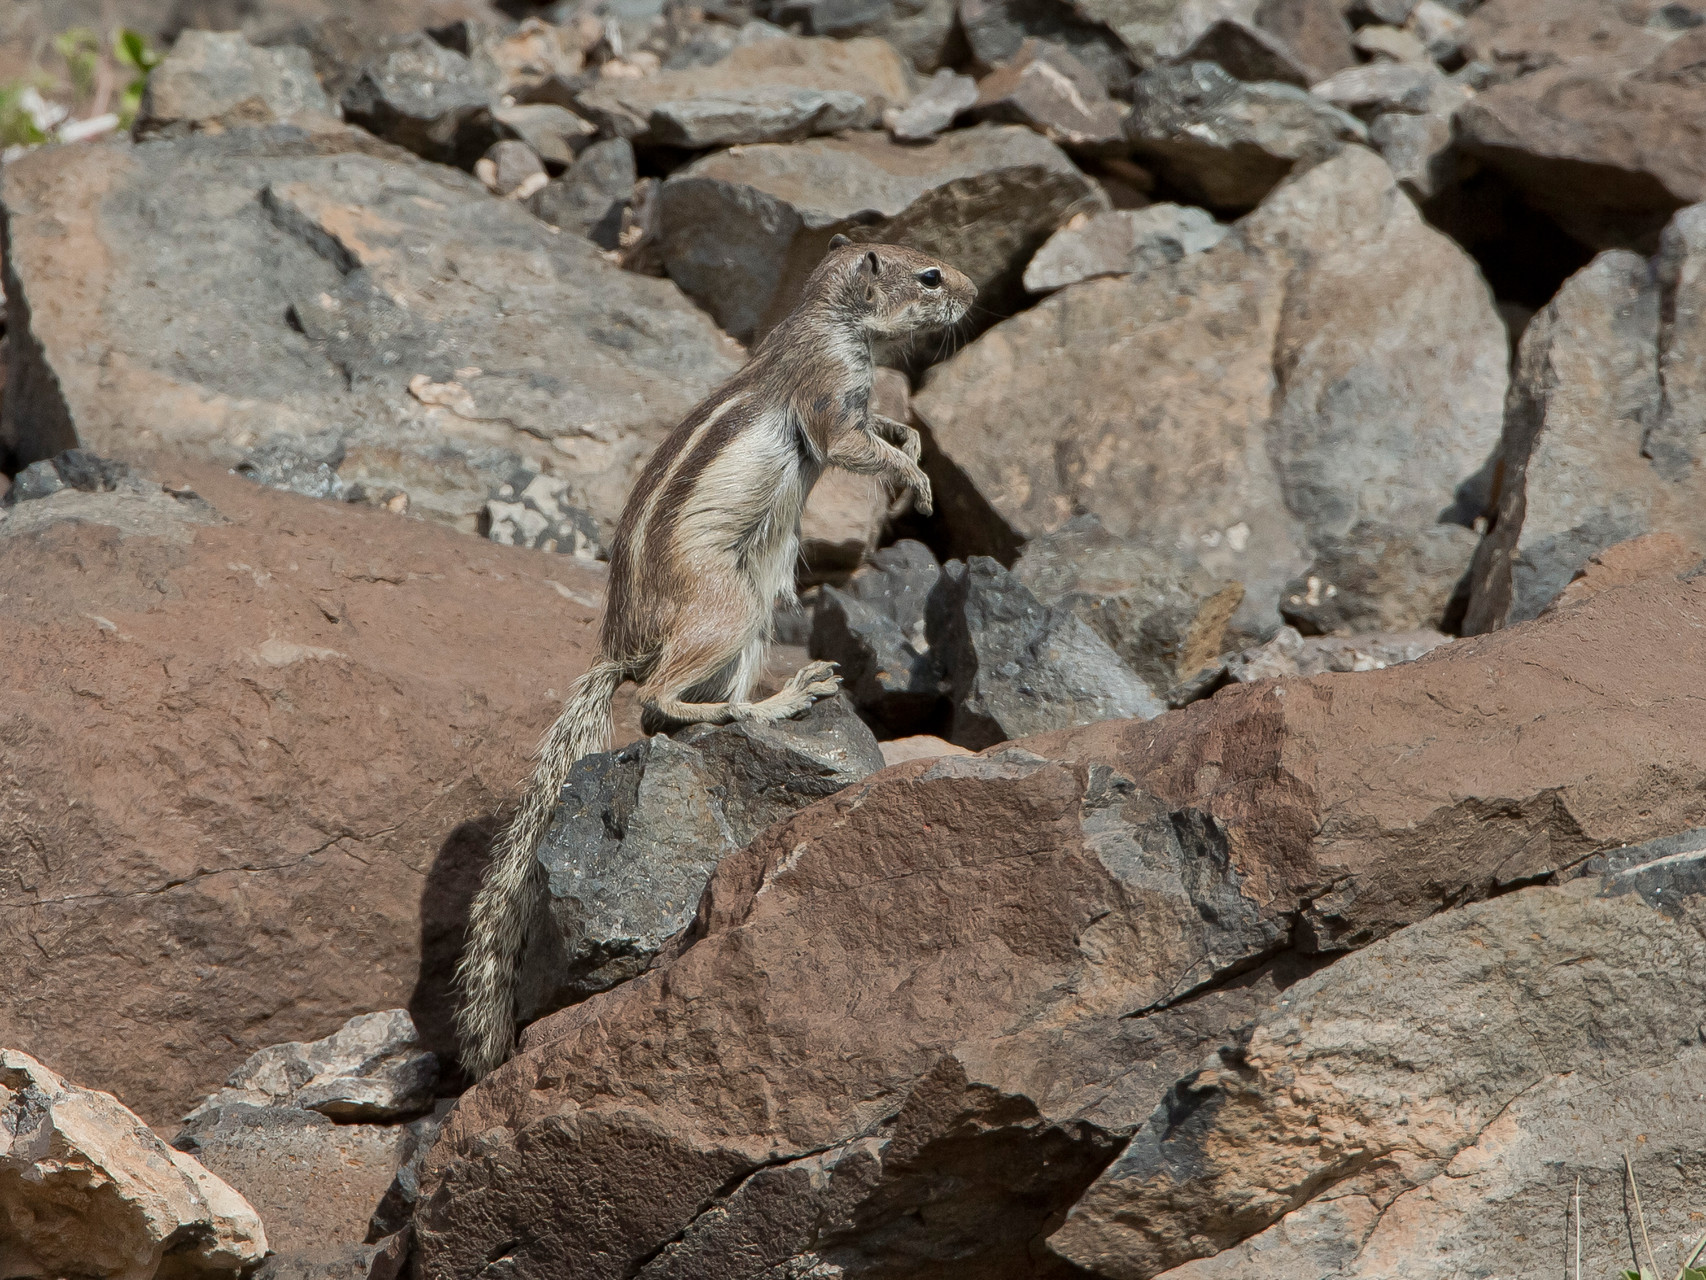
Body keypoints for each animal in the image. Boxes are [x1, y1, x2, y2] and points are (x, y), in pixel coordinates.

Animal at [453, 240, 982, 1085]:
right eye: (928, 274)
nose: (973, 291)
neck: (833, 319)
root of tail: (621, 646)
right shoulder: (828, 398)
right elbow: (851, 447)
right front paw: (920, 481)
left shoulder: (858, 402)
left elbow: (884, 429)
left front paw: (913, 442)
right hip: (727, 607)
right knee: (656, 701)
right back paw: (765, 704)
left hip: (757, 608)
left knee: (660, 713)